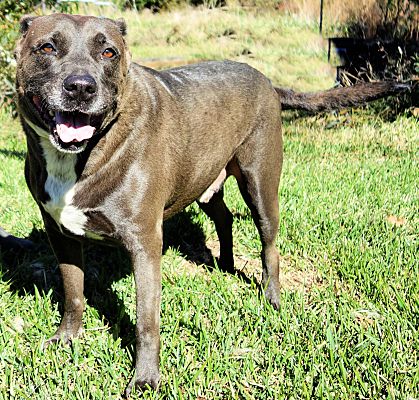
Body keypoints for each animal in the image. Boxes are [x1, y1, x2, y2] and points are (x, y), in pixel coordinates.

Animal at [15, 14, 406, 396]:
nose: (81, 87)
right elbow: (73, 293)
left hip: (260, 185)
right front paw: (66, 339)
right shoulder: (60, 233)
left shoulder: (145, 243)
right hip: (205, 184)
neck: (77, 158)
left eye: (108, 52)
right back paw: (225, 265)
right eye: (47, 47)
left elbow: (146, 320)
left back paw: (271, 297)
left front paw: (145, 379)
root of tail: (266, 79)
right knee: (225, 217)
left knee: (269, 245)